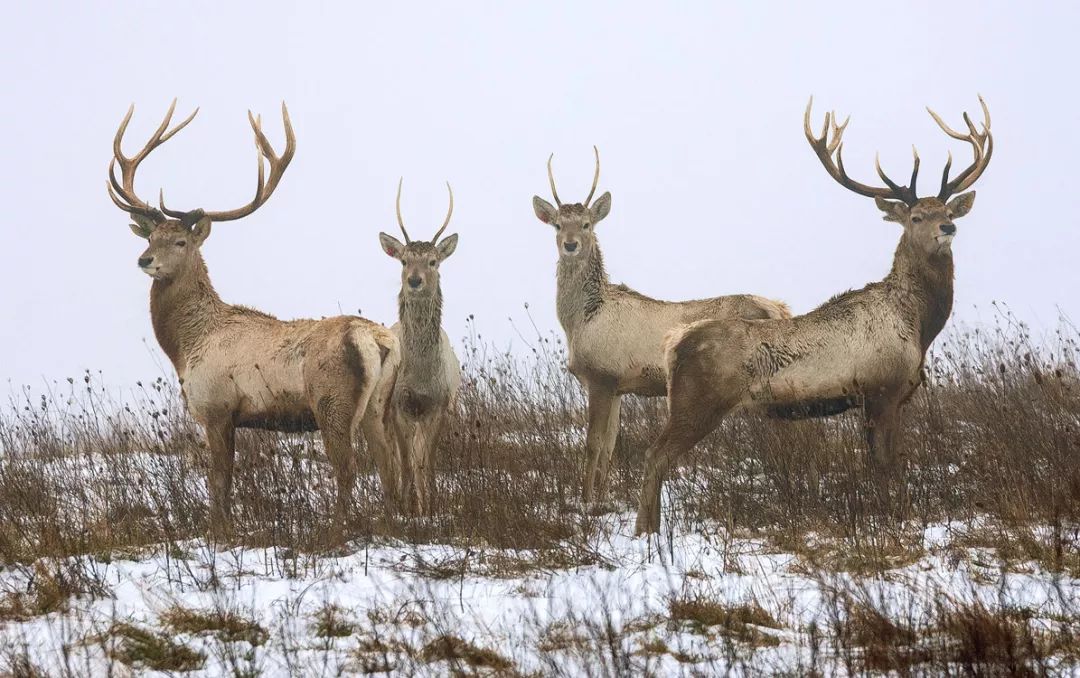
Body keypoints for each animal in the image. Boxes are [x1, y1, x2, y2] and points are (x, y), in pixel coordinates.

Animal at [107, 100, 403, 533]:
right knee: (388, 464)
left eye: (180, 242)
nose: (145, 260)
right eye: (151, 237)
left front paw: (221, 532)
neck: (187, 346)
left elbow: (219, 482)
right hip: (379, 404)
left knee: (348, 469)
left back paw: (335, 532)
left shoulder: (216, 407)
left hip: (332, 400)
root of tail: (378, 340)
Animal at [375, 180, 460, 513]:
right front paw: (406, 507)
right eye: (403, 260)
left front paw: (429, 507)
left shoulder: (439, 405)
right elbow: (407, 463)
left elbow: (426, 462)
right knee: (392, 458)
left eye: (433, 261)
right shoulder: (399, 404)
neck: (422, 378)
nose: (414, 280)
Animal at [533, 150, 794, 509]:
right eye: (558, 225)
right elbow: (609, 445)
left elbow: (592, 444)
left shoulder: (601, 375)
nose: (570, 245)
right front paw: (603, 498)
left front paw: (585, 502)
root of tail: (779, 309)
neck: (580, 322)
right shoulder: (618, 384)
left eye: (586, 224)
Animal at [630, 96, 993, 535]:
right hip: (696, 402)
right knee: (654, 455)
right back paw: (645, 532)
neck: (918, 325)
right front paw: (895, 518)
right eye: (916, 217)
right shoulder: (882, 387)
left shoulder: (887, 395)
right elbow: (886, 465)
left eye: (946, 210)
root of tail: (673, 344)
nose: (947, 228)